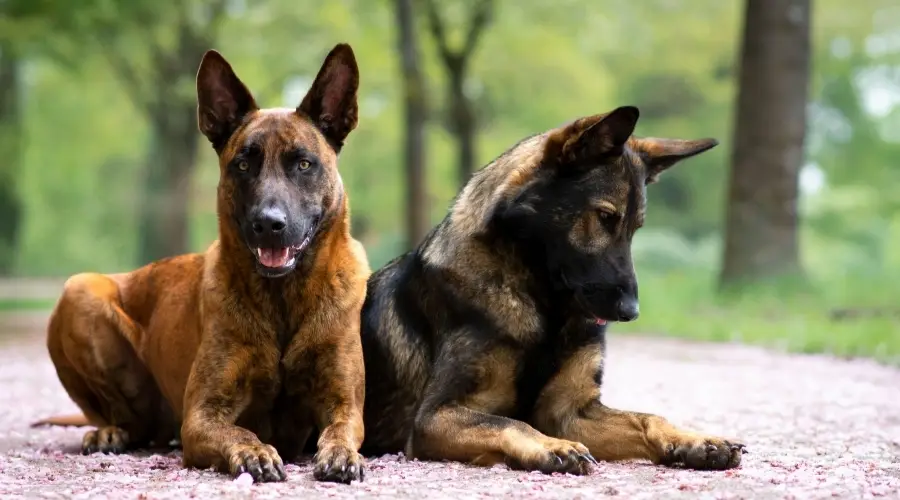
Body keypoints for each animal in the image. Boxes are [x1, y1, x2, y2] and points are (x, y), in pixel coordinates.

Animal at [31, 44, 370, 484]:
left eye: (303, 164)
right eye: (243, 164)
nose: (269, 224)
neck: (281, 297)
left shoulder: (343, 401)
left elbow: (342, 428)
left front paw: (341, 454)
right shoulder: (201, 416)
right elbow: (239, 430)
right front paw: (255, 451)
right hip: (81, 290)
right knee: (126, 418)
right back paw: (110, 431)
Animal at [358, 105, 744, 472]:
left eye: (635, 228)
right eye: (605, 217)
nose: (630, 312)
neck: (543, 305)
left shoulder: (570, 413)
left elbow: (649, 417)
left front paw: (694, 439)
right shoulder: (435, 416)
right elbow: (511, 422)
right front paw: (551, 447)